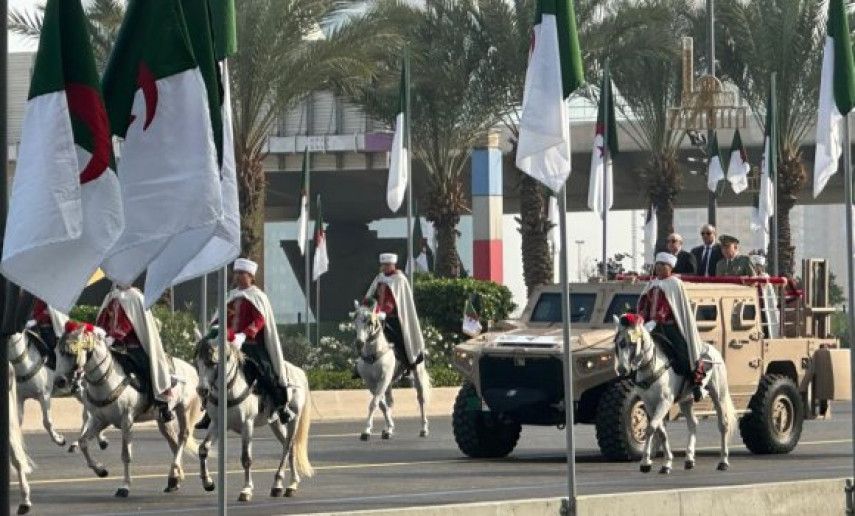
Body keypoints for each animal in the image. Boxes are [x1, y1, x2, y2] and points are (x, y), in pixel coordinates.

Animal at [54, 324, 204, 498]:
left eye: (71, 352)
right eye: (57, 352)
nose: (59, 381)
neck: (107, 380)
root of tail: (192, 369)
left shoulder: (127, 421)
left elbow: (126, 455)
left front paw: (124, 486)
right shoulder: (100, 420)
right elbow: (83, 442)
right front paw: (101, 470)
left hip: (184, 410)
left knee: (182, 437)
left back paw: (177, 476)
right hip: (163, 419)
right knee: (173, 441)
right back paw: (175, 479)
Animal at [195, 334, 314, 500]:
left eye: (213, 362)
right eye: (197, 363)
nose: (202, 390)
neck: (230, 389)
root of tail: (299, 372)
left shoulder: (247, 424)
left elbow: (246, 458)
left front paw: (246, 489)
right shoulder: (217, 424)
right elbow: (203, 449)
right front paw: (208, 482)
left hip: (294, 419)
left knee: (288, 446)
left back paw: (279, 483)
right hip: (275, 423)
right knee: (289, 446)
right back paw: (290, 484)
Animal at [352, 304, 432, 442]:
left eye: (369, 322)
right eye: (355, 321)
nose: (359, 343)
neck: (374, 355)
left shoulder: (383, 379)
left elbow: (374, 403)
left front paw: (366, 431)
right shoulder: (371, 383)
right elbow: (381, 404)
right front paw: (389, 427)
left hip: (417, 372)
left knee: (421, 399)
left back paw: (423, 429)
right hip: (389, 384)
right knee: (390, 401)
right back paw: (387, 430)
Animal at [612, 312, 740, 474]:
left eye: (632, 343)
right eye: (618, 342)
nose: (622, 369)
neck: (652, 367)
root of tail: (713, 350)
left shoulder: (664, 402)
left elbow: (651, 428)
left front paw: (646, 462)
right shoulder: (650, 404)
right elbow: (660, 431)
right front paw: (666, 463)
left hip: (719, 394)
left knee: (723, 425)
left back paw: (723, 461)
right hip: (686, 400)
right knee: (692, 423)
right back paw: (689, 459)